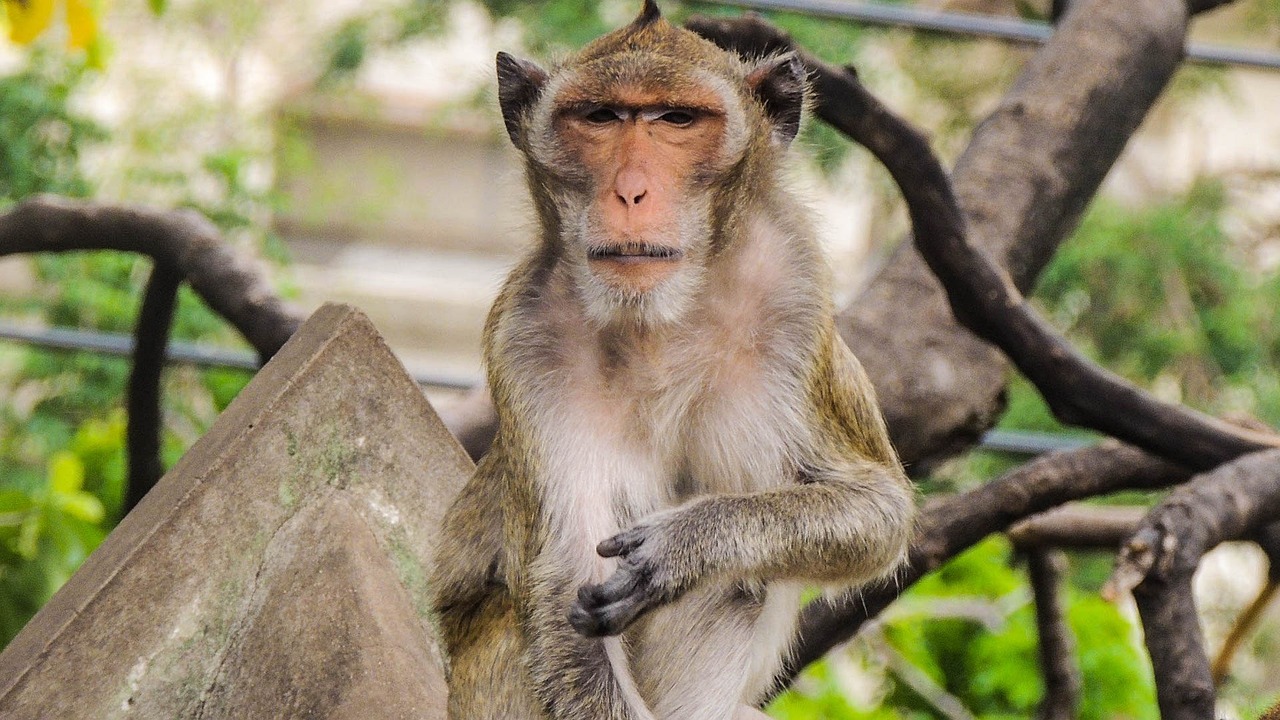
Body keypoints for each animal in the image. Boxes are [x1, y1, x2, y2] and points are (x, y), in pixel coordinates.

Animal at [435, 2, 916, 712]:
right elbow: (563, 592)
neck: (658, 319)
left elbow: (876, 508)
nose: (630, 191)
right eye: (600, 117)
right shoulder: (525, 338)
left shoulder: (796, 300)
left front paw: (688, 544)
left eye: (677, 120)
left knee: (736, 586)